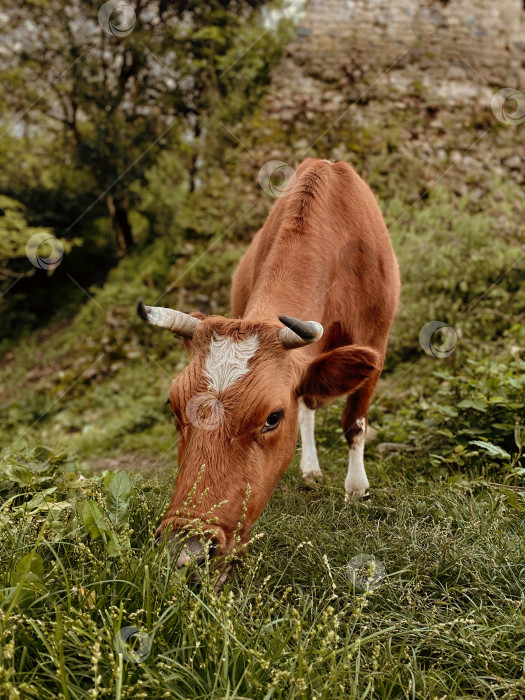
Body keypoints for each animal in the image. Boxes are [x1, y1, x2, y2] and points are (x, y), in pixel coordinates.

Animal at [137, 159, 400, 580]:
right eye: (174, 408)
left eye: (272, 418)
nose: (186, 551)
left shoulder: (375, 339)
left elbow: (354, 423)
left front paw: (356, 489)